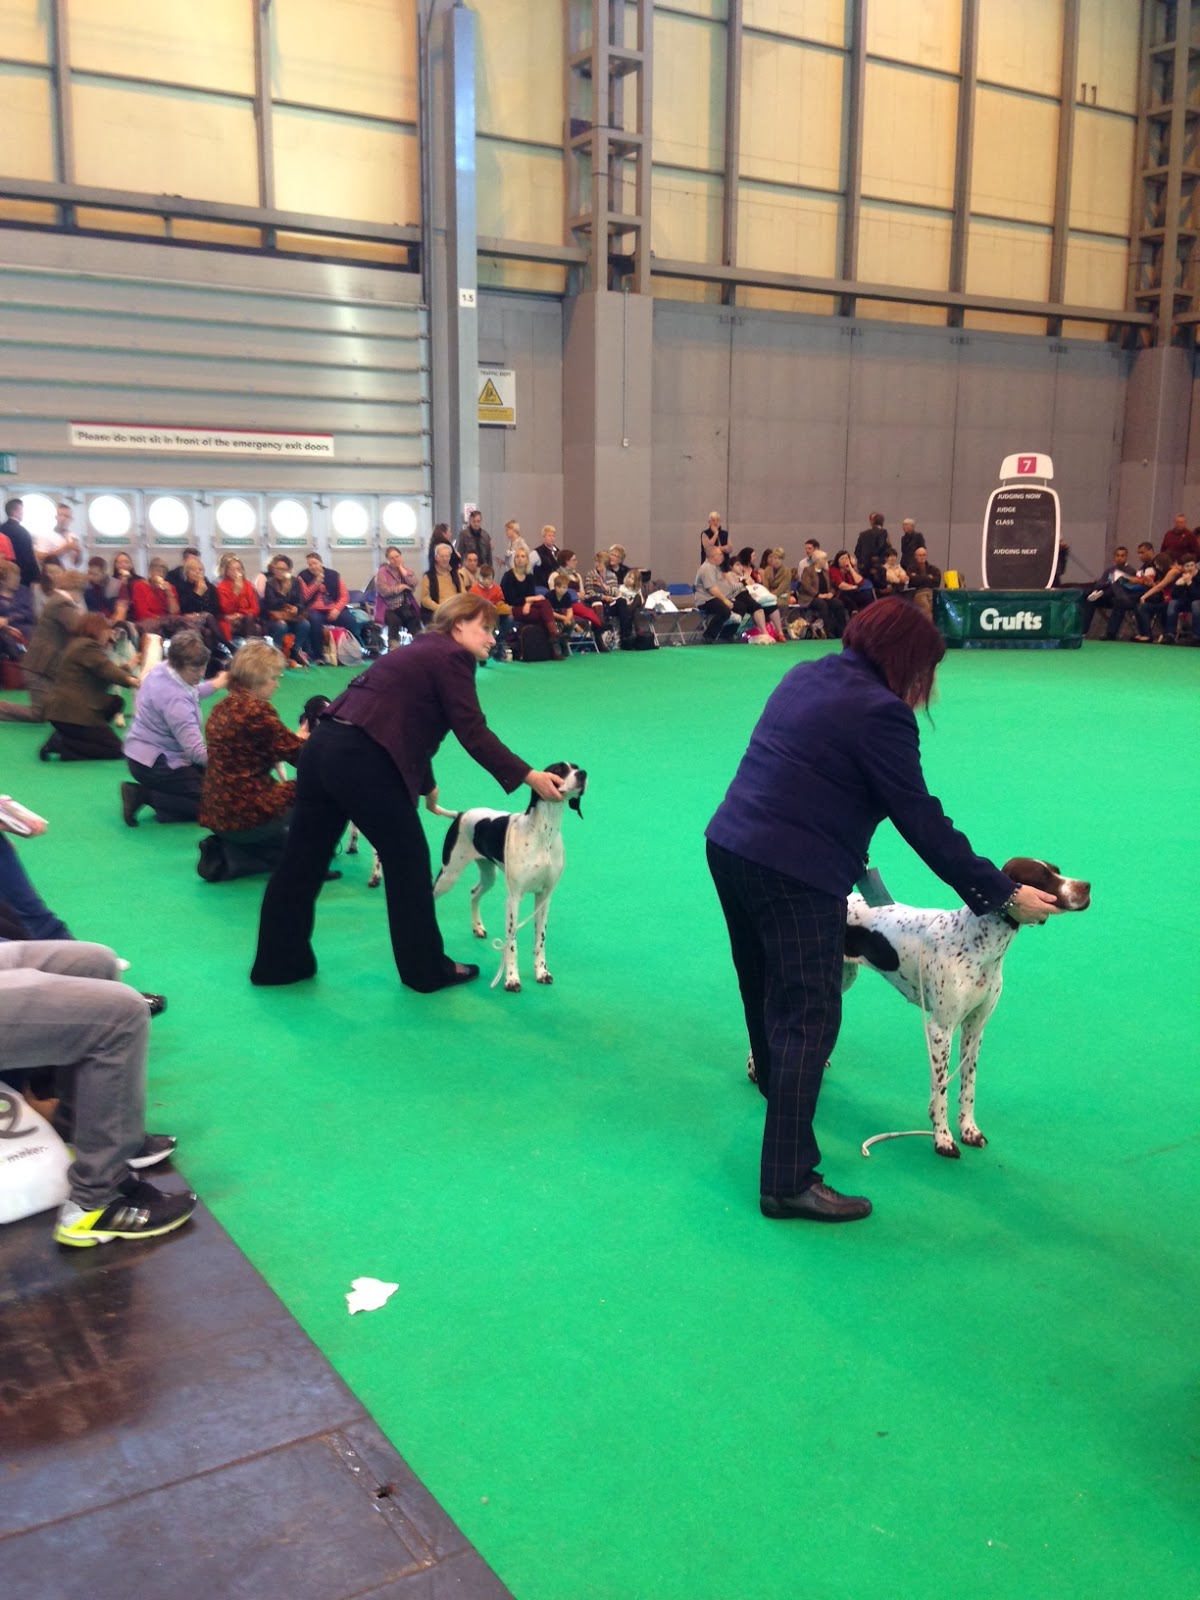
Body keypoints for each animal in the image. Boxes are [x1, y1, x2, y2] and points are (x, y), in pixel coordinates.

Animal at [432, 762, 587, 991]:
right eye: (560, 770)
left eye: (576, 767)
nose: (583, 774)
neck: (544, 834)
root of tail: (460, 814)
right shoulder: (514, 899)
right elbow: (511, 944)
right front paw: (512, 978)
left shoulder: (544, 898)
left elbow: (540, 941)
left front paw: (542, 972)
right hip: (448, 875)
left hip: (489, 875)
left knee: (474, 892)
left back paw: (478, 927)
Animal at [842, 857, 1090, 1157]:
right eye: (1043, 877)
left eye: (1057, 870)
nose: (1086, 886)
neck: (979, 944)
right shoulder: (940, 1029)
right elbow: (941, 1090)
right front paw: (943, 1138)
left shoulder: (975, 1027)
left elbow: (968, 1086)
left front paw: (969, 1130)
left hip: (845, 977)